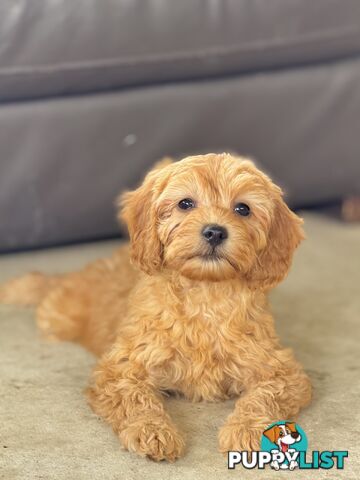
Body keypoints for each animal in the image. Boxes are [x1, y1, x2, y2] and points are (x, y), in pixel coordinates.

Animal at [0, 154, 310, 462]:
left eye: (243, 209)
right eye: (185, 204)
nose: (214, 232)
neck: (204, 295)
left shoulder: (279, 368)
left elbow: (264, 396)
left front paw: (247, 429)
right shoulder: (122, 366)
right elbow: (136, 398)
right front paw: (152, 430)